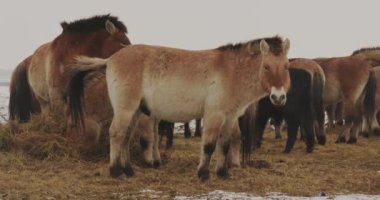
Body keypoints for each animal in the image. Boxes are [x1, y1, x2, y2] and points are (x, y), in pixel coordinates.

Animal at [67, 35, 290, 180]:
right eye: (266, 66)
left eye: (286, 66)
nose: (279, 97)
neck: (232, 71)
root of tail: (111, 59)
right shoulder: (214, 115)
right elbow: (209, 145)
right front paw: (203, 174)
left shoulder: (230, 116)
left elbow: (224, 145)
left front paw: (223, 174)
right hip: (125, 109)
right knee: (116, 134)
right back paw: (116, 172)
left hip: (136, 112)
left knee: (126, 137)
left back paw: (129, 170)